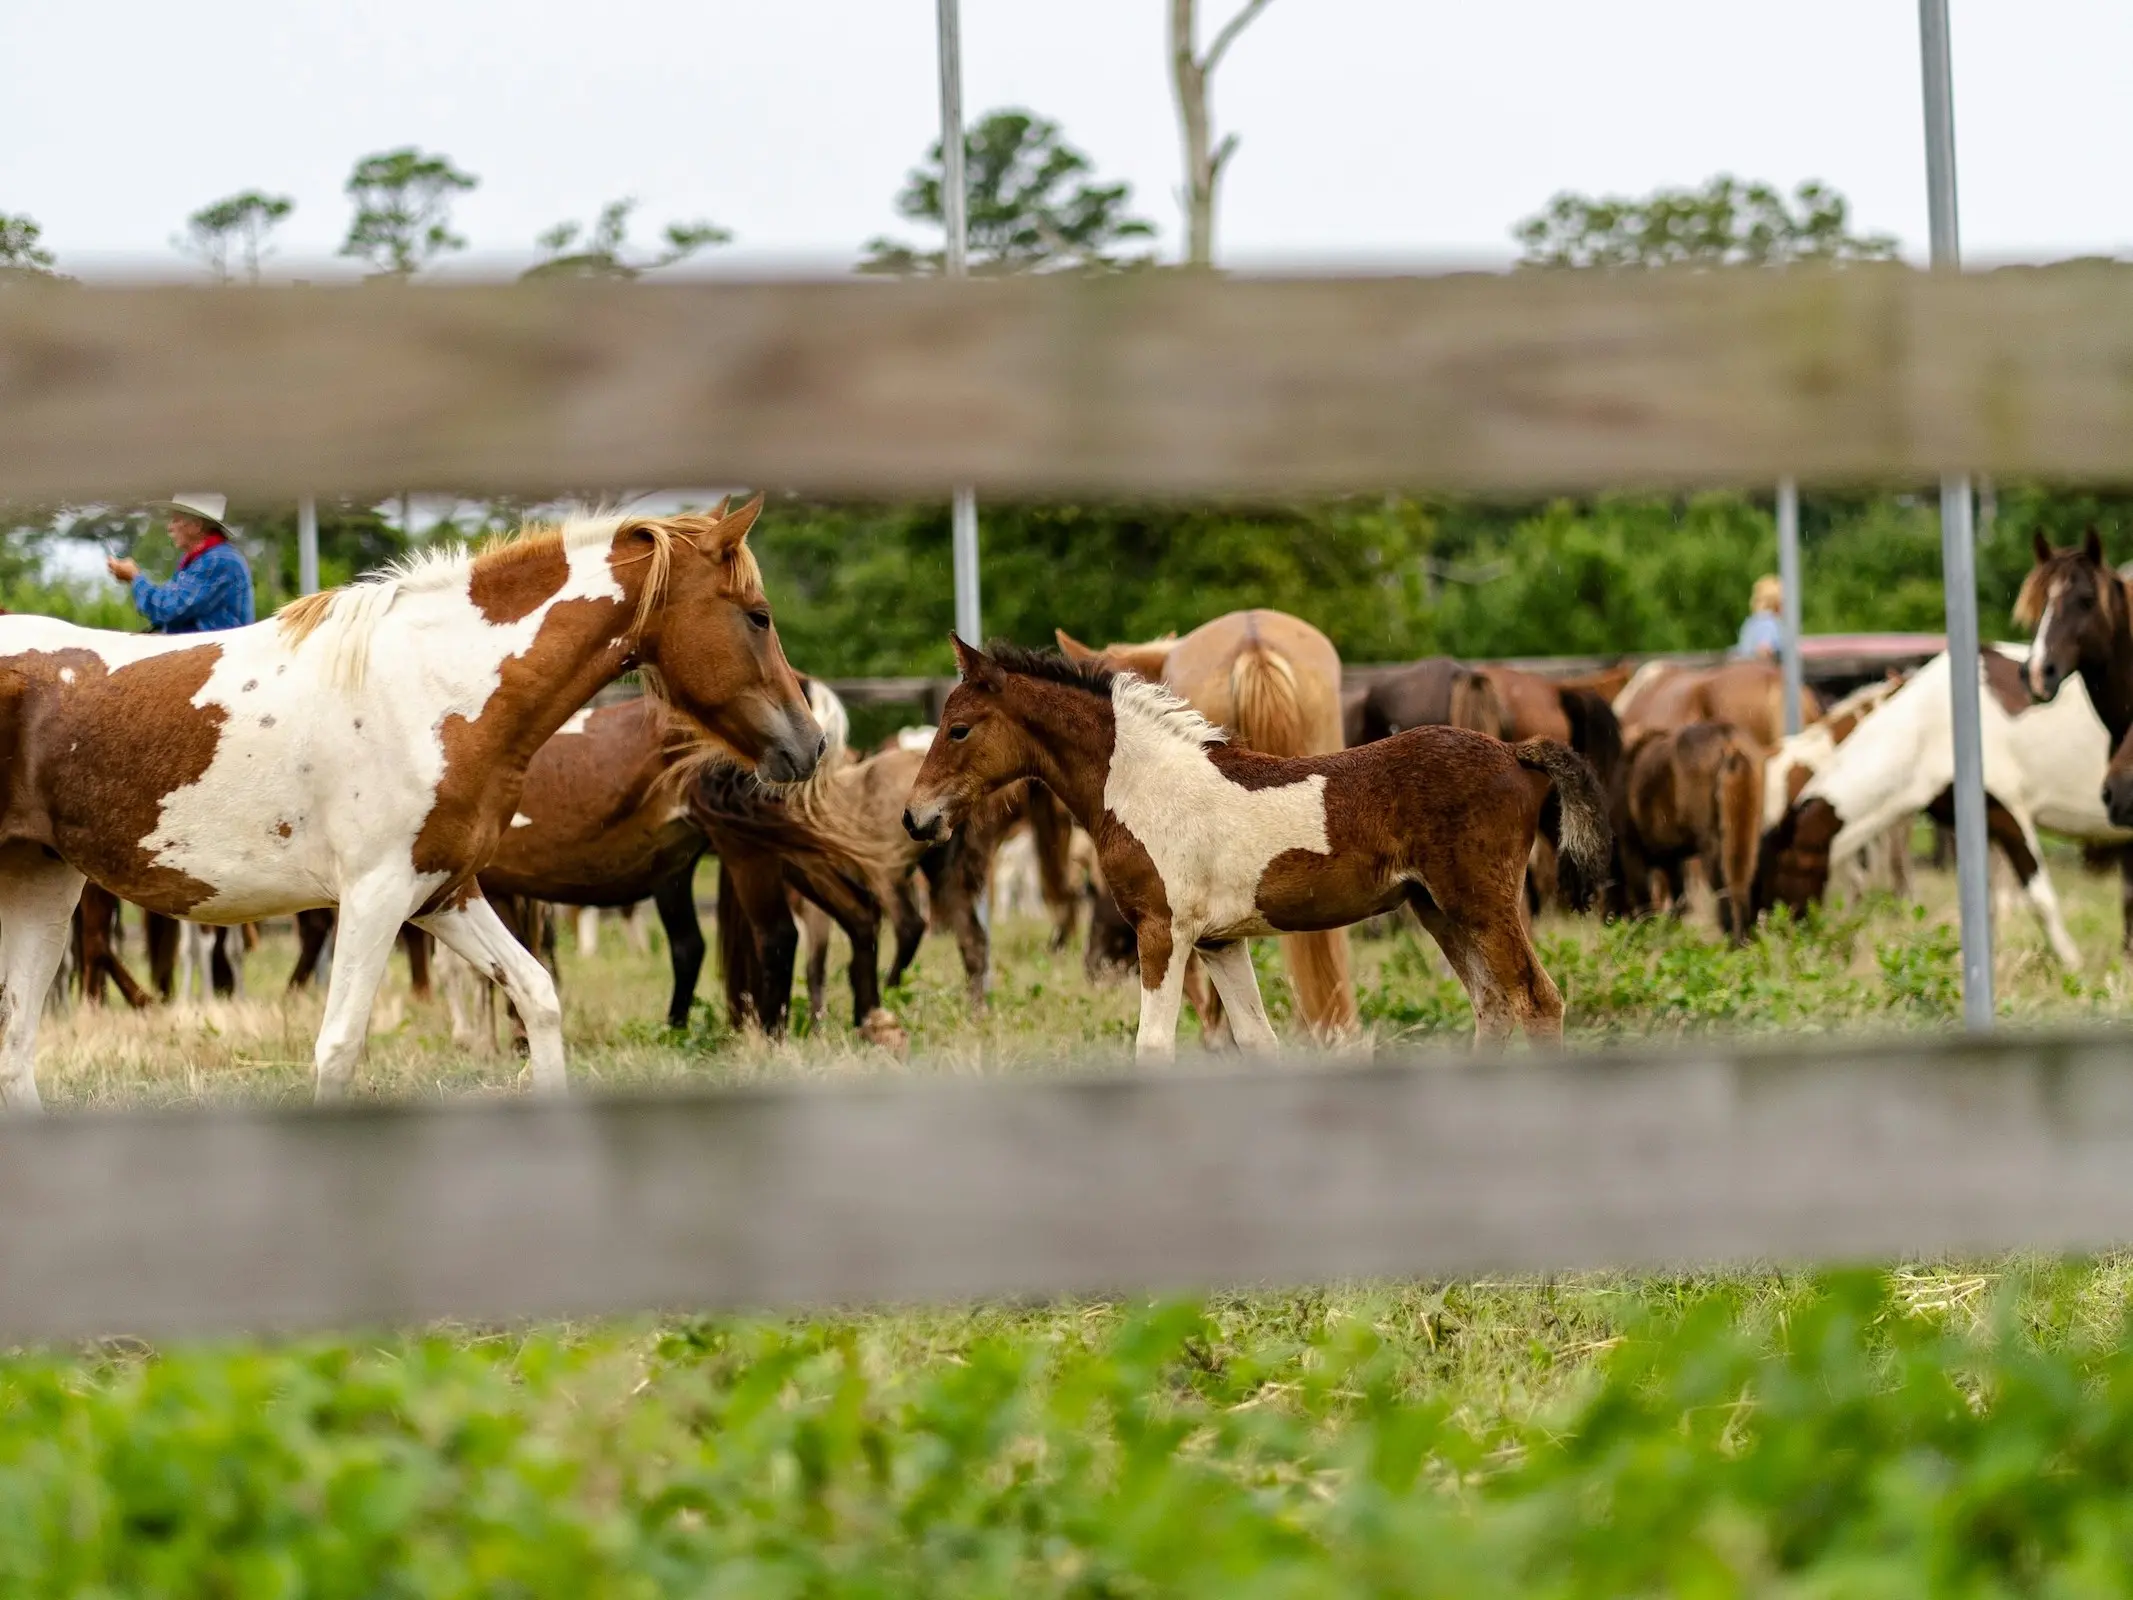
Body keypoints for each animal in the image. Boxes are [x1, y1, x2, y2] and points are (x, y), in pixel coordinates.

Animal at [0, 494, 814, 1109]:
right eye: (758, 614)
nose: (808, 746)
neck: (434, 690)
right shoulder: (374, 897)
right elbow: (338, 1049)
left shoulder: (444, 893)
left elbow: (538, 995)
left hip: (46, 889)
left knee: (17, 1051)